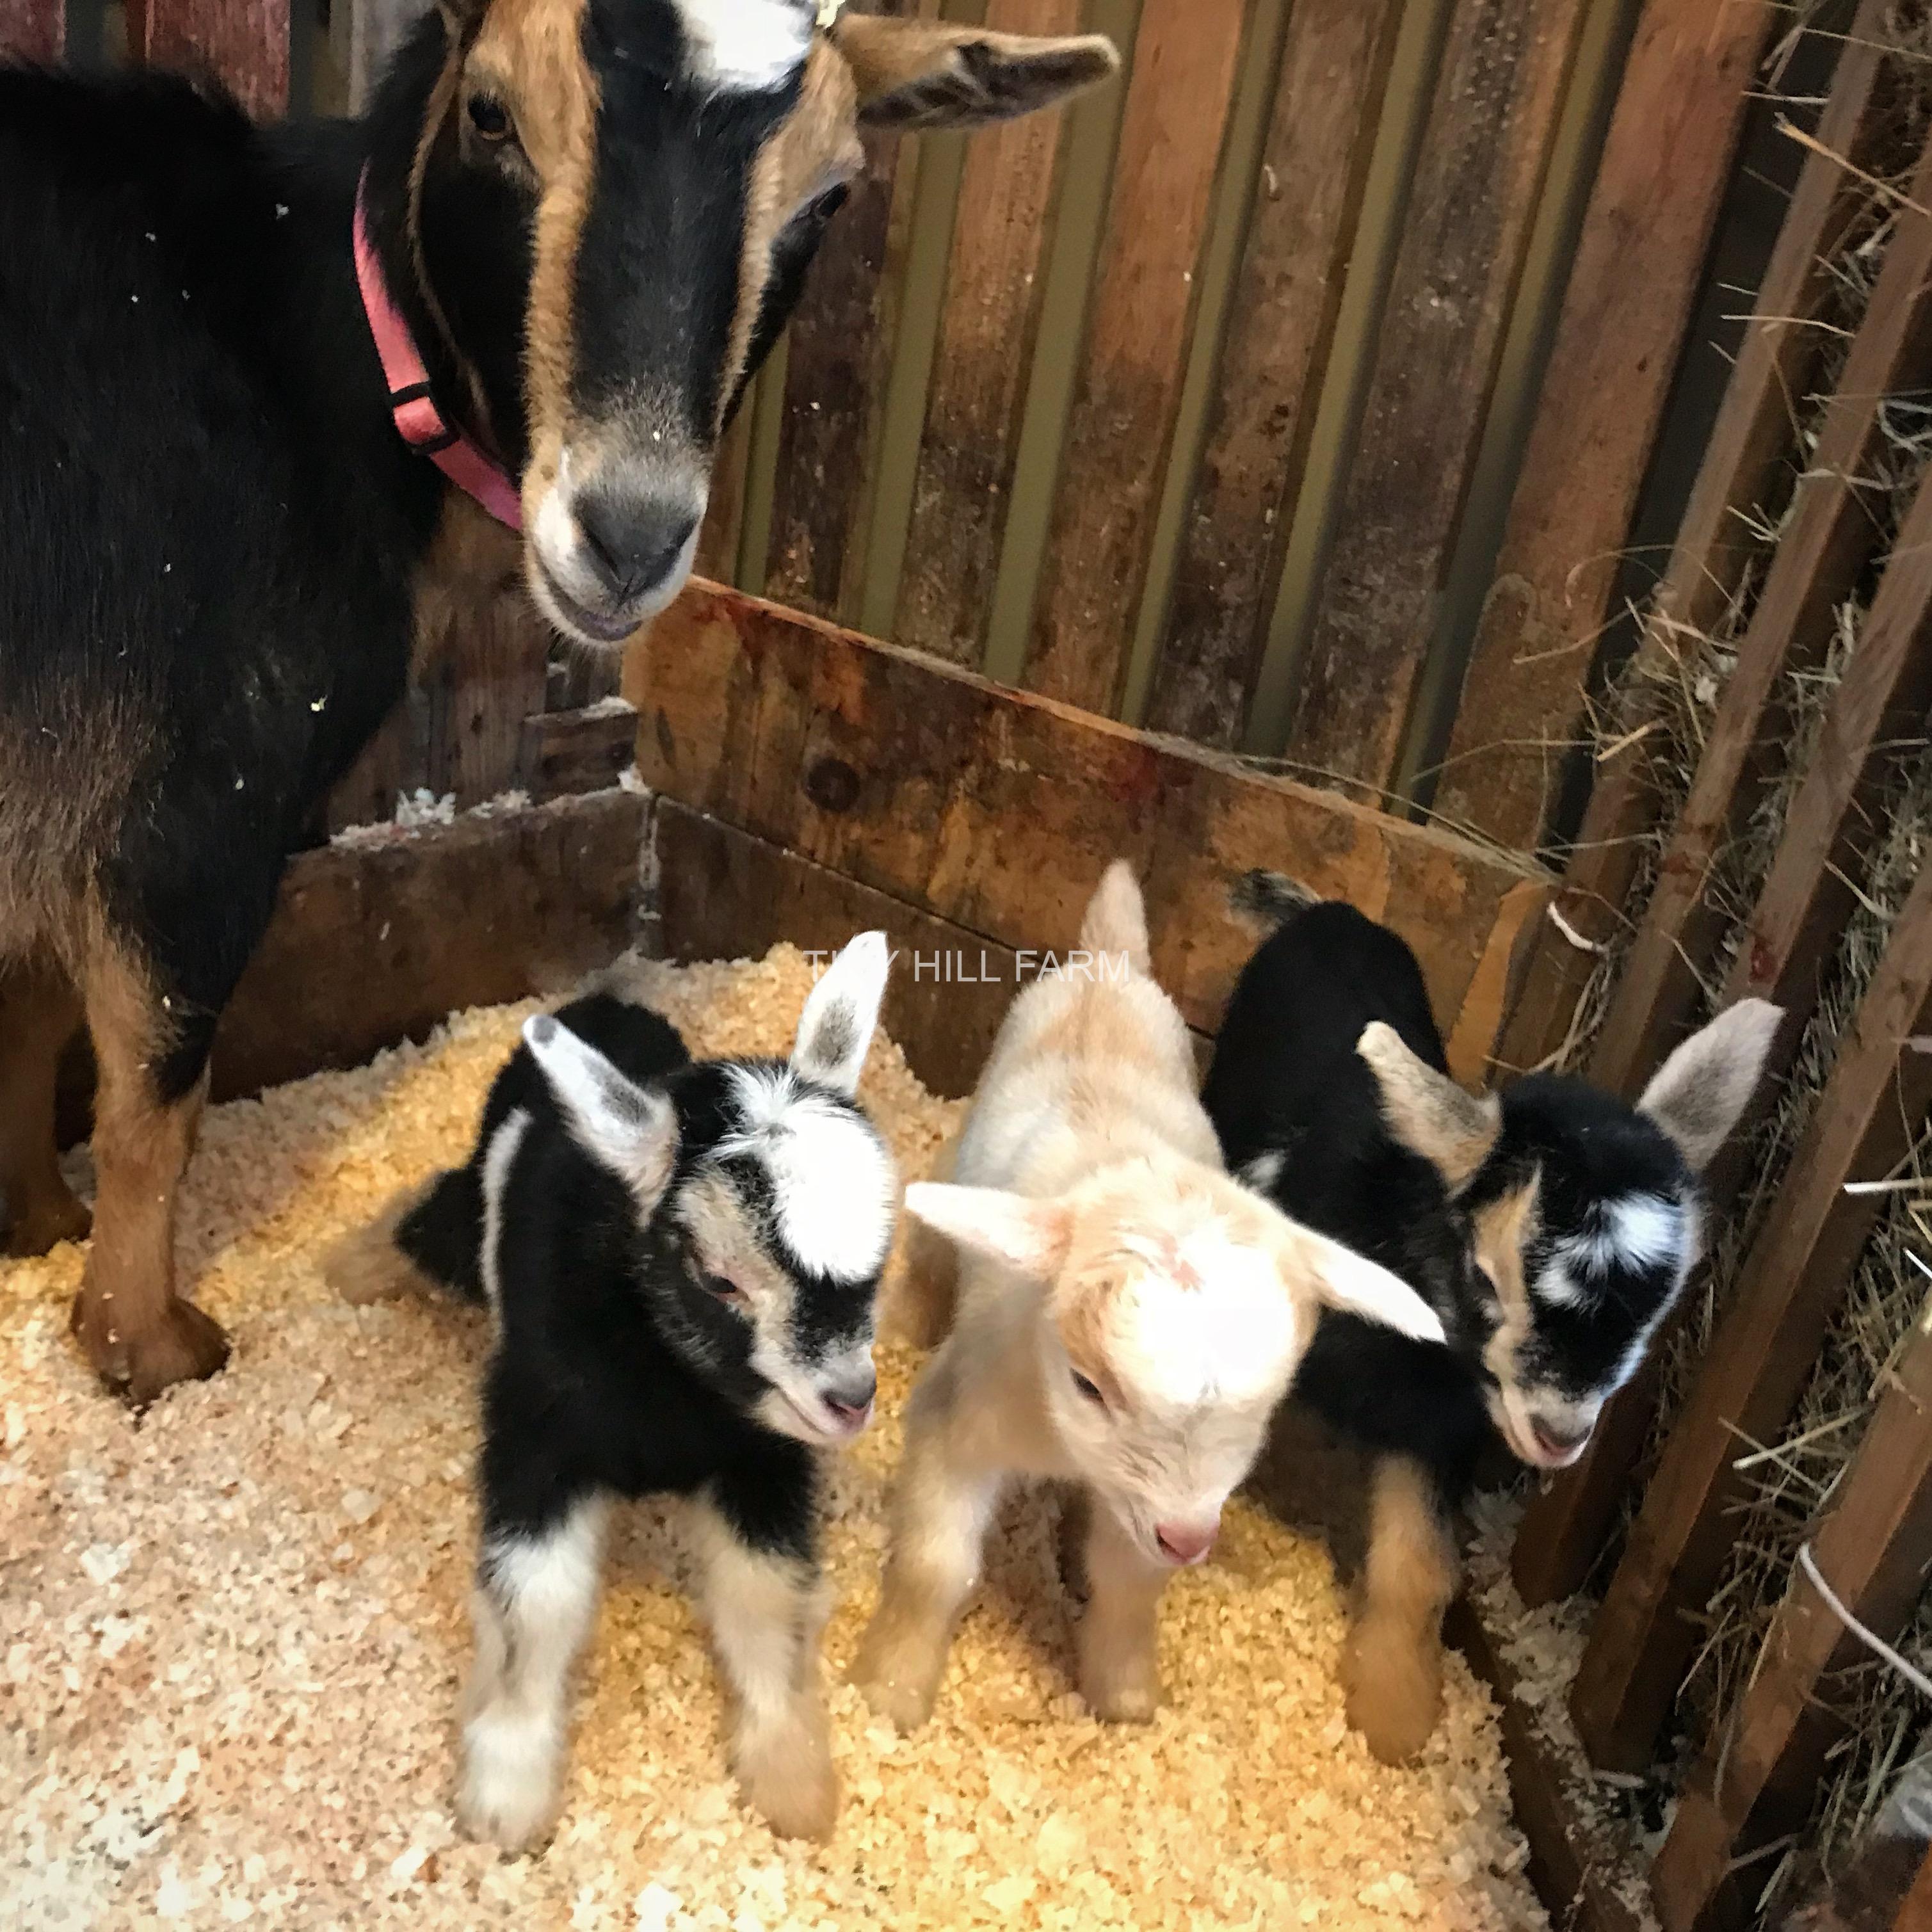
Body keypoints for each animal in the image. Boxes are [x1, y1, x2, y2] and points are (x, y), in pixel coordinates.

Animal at [0, 6, 1116, 1405]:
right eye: (490, 115)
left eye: (829, 196)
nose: (628, 538)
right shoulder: (195, 788)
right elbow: (156, 1094)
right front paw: (145, 1341)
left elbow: (31, 1002)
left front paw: (36, 1222)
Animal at [328, 933, 896, 1847]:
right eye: (719, 1279)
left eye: (882, 1254)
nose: (849, 1398)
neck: (665, 1387)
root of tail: (606, 1005)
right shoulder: (536, 1436)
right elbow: (537, 1600)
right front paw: (507, 1789)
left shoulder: (760, 1457)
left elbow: (763, 1595)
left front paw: (791, 1775)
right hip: (470, 1208)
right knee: (436, 1216)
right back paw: (346, 1264)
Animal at [852, 862, 1444, 1733]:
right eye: (1087, 1385)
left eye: (1268, 1408)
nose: (1192, 1540)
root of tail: (1111, 966)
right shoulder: (961, 1415)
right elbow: (935, 1565)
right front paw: (889, 1694)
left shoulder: (1145, 1509)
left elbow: (1129, 1590)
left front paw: (1125, 1701)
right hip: (961, 1154)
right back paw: (906, 1316)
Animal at [1202, 872, 1780, 1763]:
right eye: (1484, 1274)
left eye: (1662, 1305)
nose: (1560, 1432)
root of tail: (1332, 912)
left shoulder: (1433, 1426)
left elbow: (1419, 1568)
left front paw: (1396, 1713)